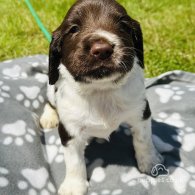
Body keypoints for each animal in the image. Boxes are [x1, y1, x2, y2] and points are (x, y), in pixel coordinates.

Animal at [39, 0, 163, 194]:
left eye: (123, 25)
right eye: (74, 29)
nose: (102, 50)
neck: (101, 90)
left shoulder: (141, 112)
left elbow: (143, 139)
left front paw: (150, 161)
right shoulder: (69, 129)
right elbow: (74, 161)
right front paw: (74, 186)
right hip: (52, 89)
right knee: (49, 102)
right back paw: (49, 117)